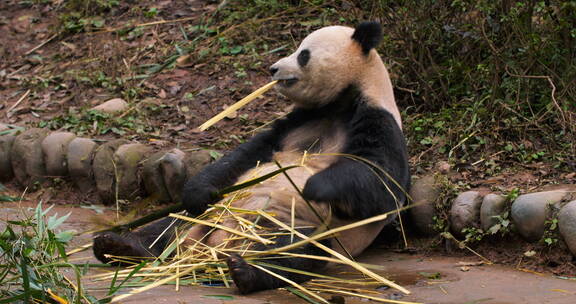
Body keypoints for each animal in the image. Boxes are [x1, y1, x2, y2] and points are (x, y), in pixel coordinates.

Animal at [94, 21, 410, 294]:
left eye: (303, 54)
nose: (273, 68)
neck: (340, 103)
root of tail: (213, 247)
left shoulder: (378, 119)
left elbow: (381, 184)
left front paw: (314, 186)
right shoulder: (298, 122)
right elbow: (248, 154)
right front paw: (199, 190)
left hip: (303, 229)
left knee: (293, 252)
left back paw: (246, 271)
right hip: (209, 215)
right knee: (169, 225)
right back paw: (119, 246)